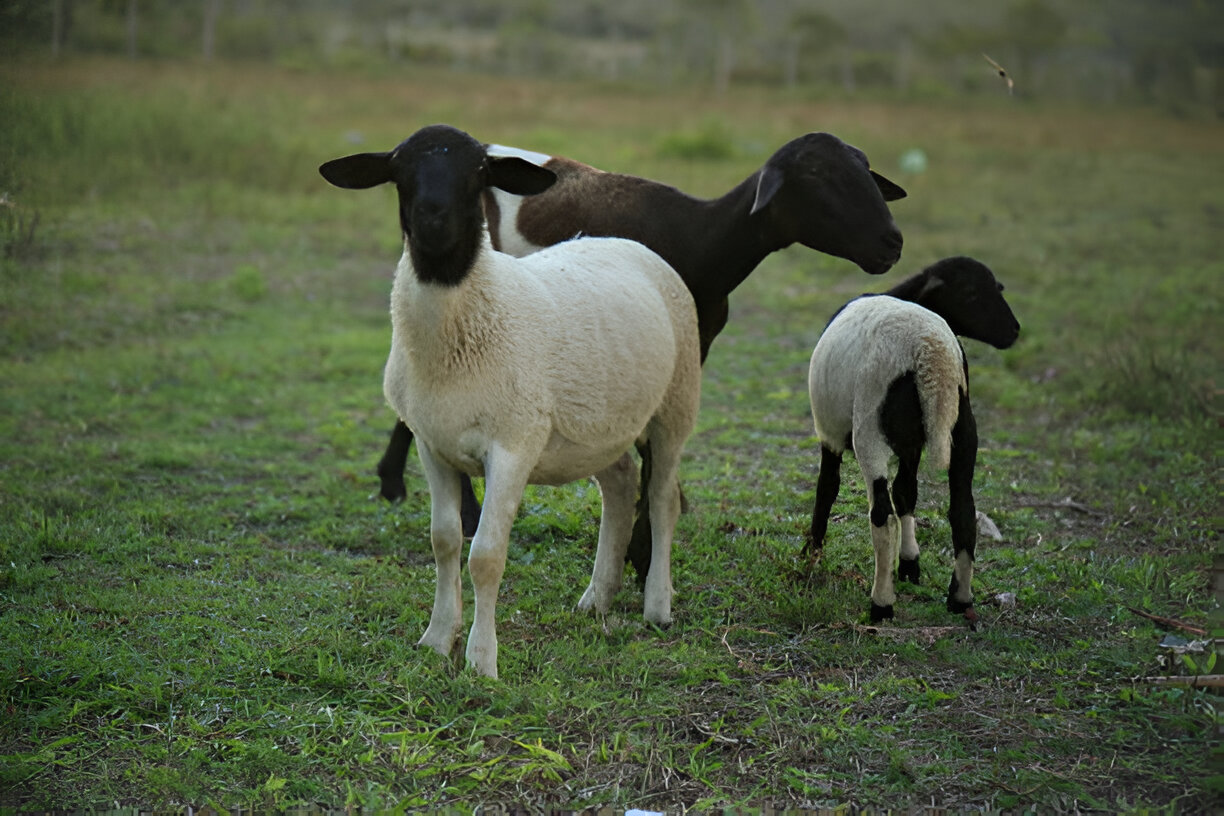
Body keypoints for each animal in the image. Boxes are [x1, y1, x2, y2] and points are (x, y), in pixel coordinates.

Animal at [319, 125, 702, 679]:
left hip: (676, 403)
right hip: (596, 425)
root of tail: (623, 241)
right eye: (398, 170)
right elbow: (444, 540)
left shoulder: (513, 445)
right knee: (620, 483)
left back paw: (657, 607)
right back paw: (597, 598)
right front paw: (437, 640)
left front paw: (481, 662)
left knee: (662, 498)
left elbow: (486, 555)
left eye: (480, 171)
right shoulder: (432, 444)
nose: (433, 219)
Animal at [377, 132, 908, 580]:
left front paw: (657, 520)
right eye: (816, 176)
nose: (893, 242)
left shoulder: (693, 342)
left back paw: (394, 481)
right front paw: (641, 550)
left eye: (865, 168)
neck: (704, 241)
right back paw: (445, 502)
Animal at [803, 256, 1020, 624]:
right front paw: (909, 563)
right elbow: (907, 493)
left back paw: (881, 604)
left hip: (869, 429)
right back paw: (960, 598)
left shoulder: (829, 433)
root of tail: (928, 351)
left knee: (881, 515)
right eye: (974, 293)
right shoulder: (912, 446)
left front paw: (811, 553)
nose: (1014, 331)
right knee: (963, 510)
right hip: (964, 429)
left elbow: (826, 489)